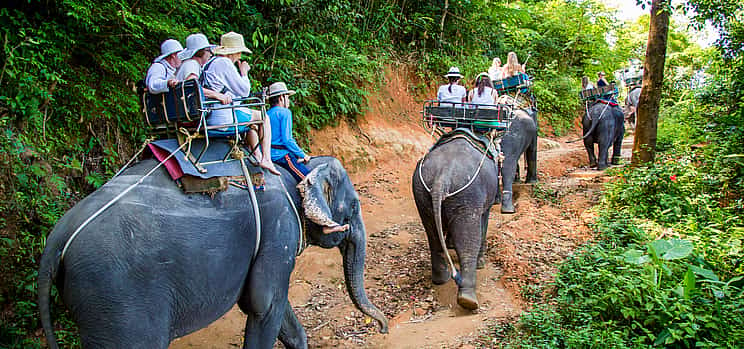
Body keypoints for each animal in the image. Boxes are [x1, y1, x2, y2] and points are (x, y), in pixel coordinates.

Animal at [37, 156, 386, 346]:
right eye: (354, 207)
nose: (382, 328)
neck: (290, 168)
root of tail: (56, 240)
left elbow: (273, 306)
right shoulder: (278, 228)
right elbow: (264, 305)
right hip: (116, 301)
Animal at [410, 107, 536, 308]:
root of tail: (441, 177)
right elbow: (483, 221)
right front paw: (481, 262)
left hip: (422, 193)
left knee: (432, 234)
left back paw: (442, 279)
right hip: (466, 195)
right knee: (468, 238)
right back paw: (468, 299)